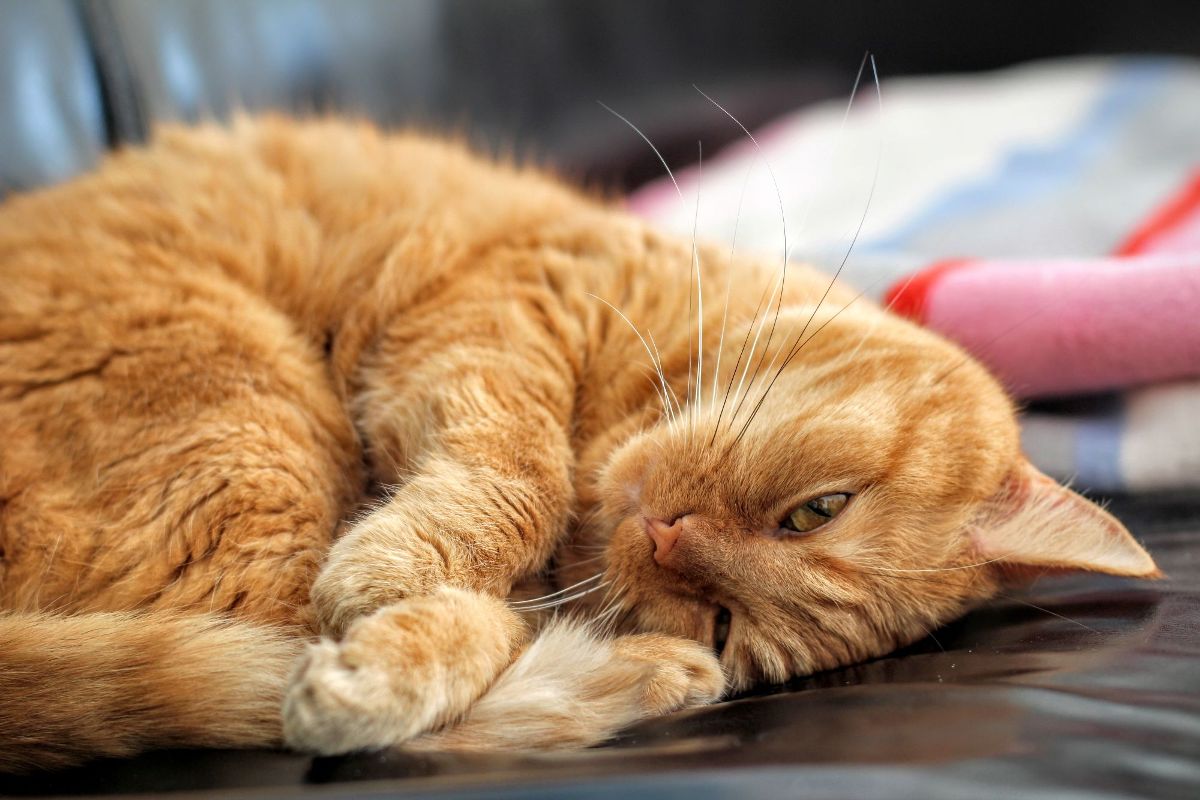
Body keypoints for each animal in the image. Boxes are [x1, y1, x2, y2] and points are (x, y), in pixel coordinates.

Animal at [2, 117, 1161, 767]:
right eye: (819, 509)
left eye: (728, 621)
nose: (667, 535)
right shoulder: (502, 309)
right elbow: (521, 472)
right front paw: (400, 587)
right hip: (246, 440)